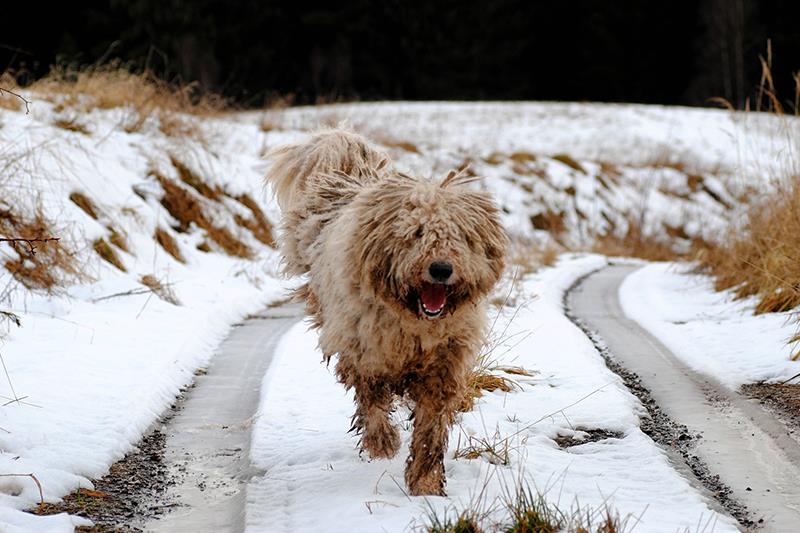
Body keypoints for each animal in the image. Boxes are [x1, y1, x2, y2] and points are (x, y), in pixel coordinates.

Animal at [268, 128, 506, 494]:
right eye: (416, 233)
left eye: (459, 236)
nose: (440, 269)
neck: (414, 321)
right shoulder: (364, 352)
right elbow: (372, 401)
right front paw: (383, 443)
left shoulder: (444, 363)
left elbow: (431, 426)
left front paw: (425, 481)